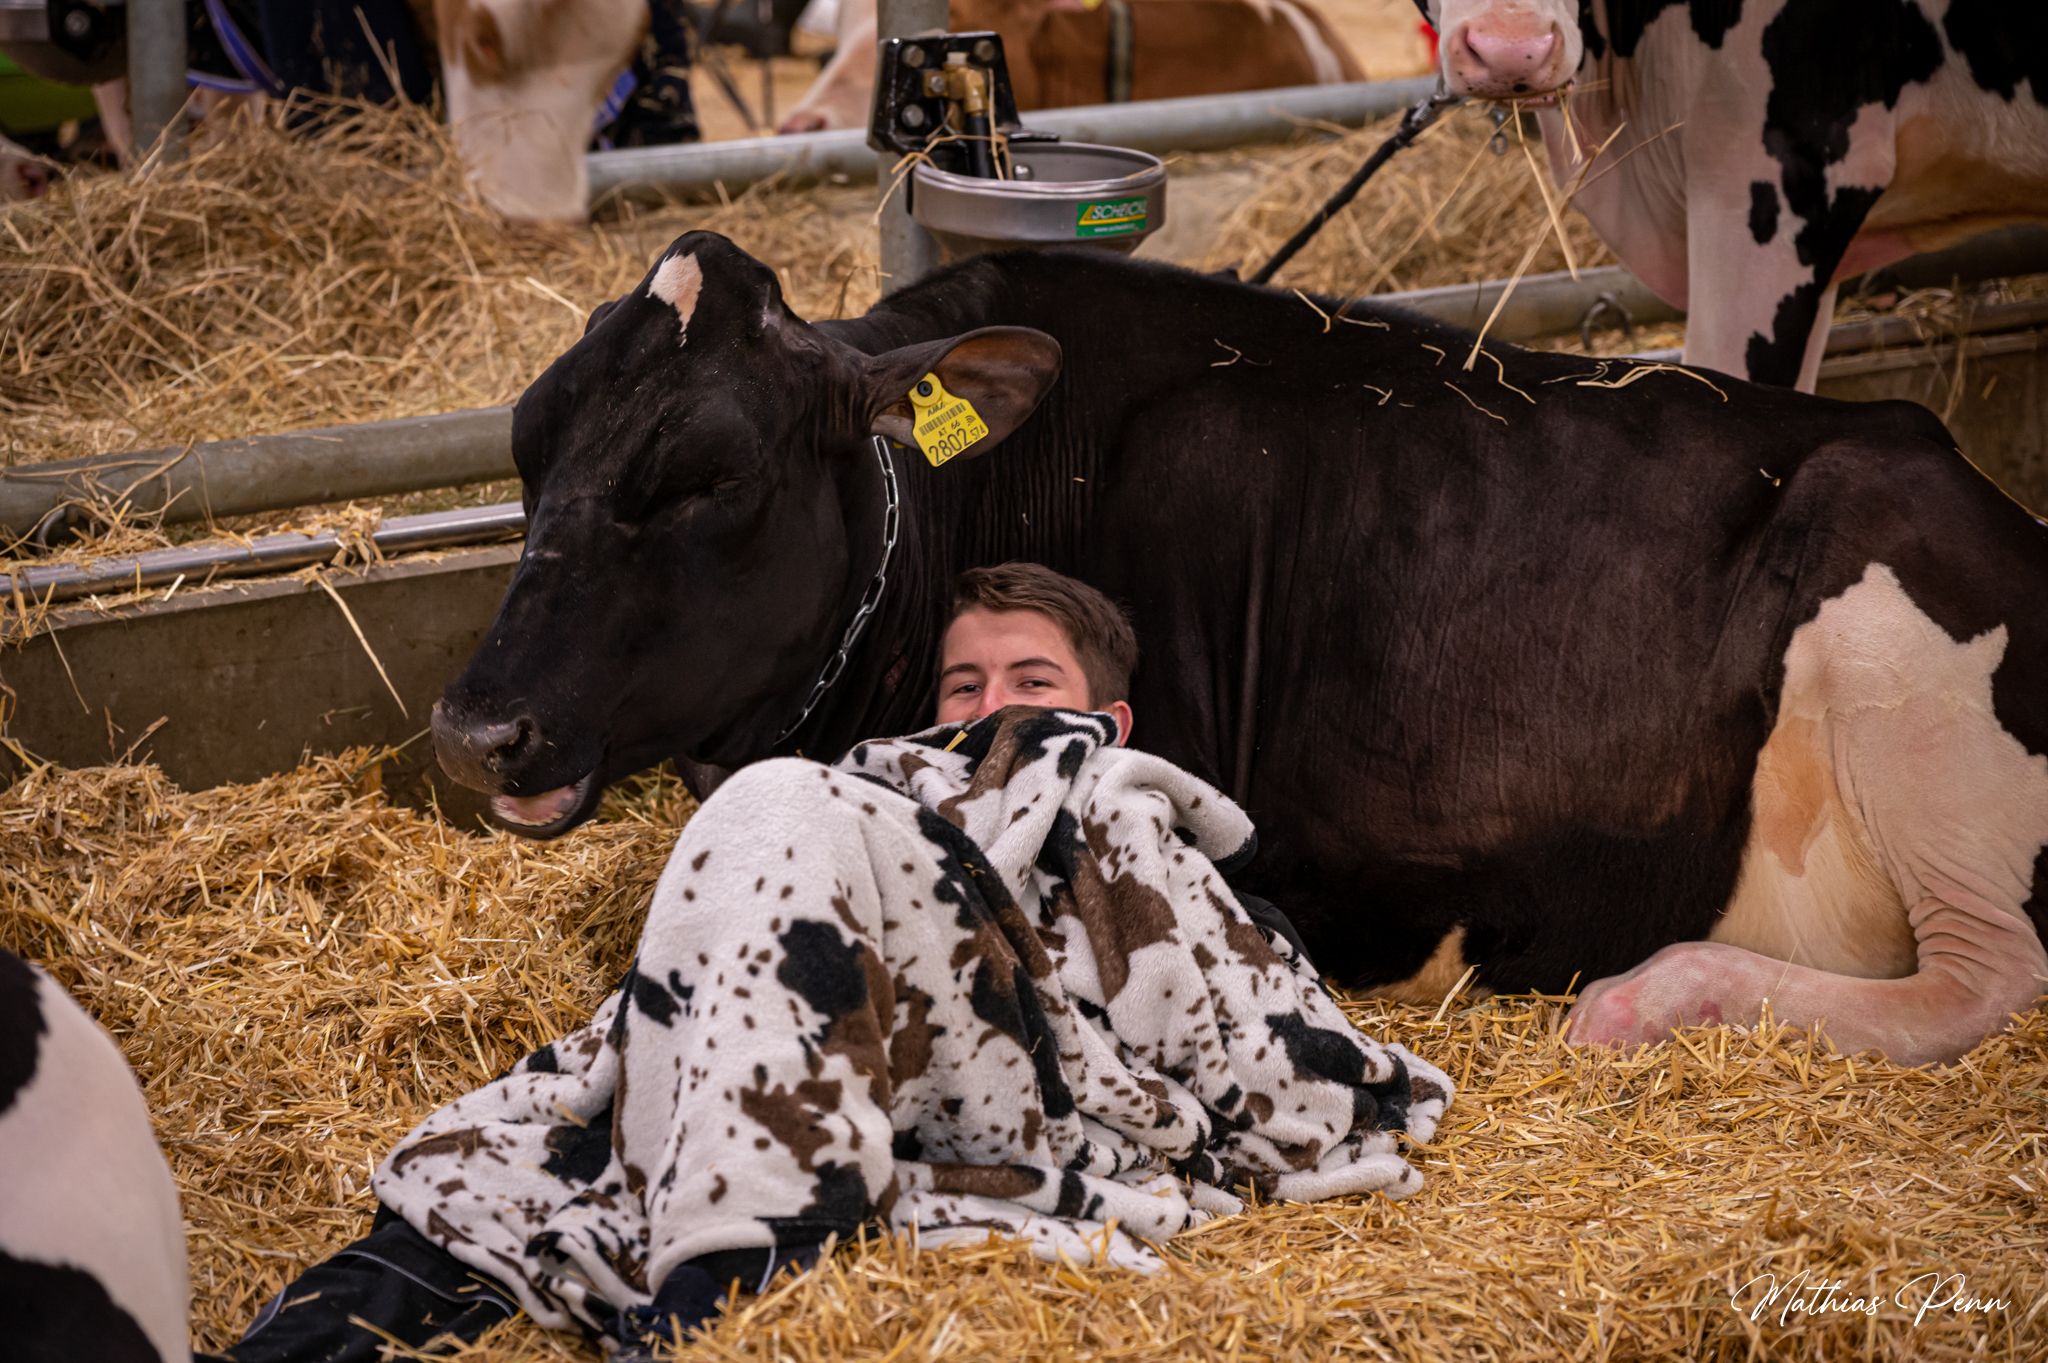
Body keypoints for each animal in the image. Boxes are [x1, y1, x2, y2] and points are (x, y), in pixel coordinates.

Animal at [429, 231, 2048, 1069]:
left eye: (704, 475)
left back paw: (1648, 993)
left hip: (1898, 652)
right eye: (526, 443)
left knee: (1988, 969)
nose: (479, 724)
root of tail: (1944, 454)